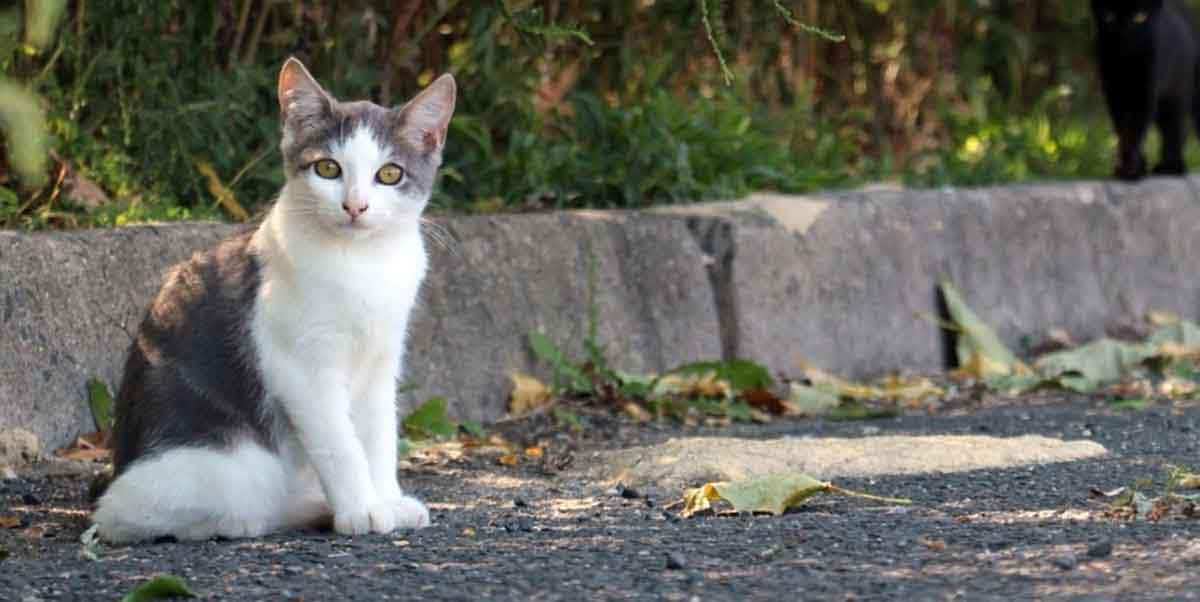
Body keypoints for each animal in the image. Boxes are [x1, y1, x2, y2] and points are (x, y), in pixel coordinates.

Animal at [92, 58, 453, 542]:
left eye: (390, 174)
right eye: (328, 168)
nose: (355, 206)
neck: (362, 264)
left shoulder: (381, 360)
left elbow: (379, 436)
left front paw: (389, 500)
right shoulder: (300, 368)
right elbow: (340, 444)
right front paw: (363, 509)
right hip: (229, 467)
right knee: (160, 513)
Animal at [1099, 0, 1200, 178]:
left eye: (1140, 18)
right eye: (1109, 17)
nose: (1124, 32)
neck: (1126, 62)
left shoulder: (1144, 95)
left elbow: (1134, 130)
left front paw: (1128, 169)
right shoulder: (1114, 95)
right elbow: (1122, 129)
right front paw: (1134, 166)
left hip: (1177, 92)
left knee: (1175, 128)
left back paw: (1172, 167)